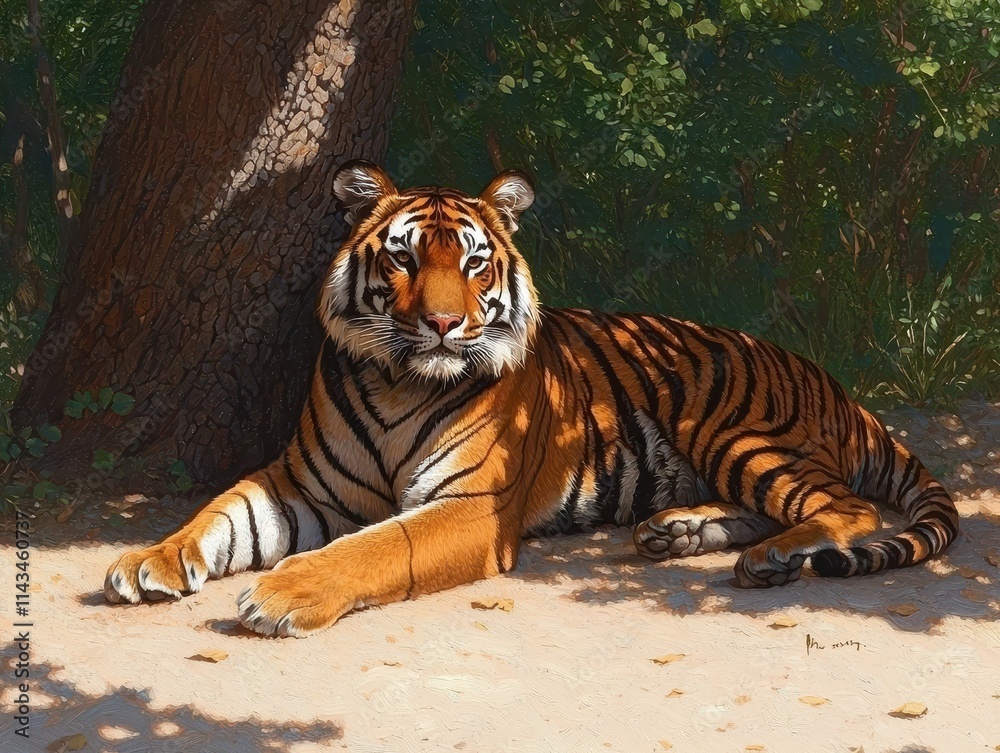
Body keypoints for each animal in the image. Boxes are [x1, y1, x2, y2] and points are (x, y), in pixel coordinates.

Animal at [104, 161, 959, 637]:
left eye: (474, 262)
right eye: (403, 258)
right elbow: (220, 512)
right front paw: (148, 558)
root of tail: (839, 387)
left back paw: (769, 557)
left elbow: (374, 547)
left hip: (733, 429)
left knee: (846, 506)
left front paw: (284, 590)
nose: (443, 323)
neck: (396, 376)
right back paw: (680, 531)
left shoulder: (470, 505)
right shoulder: (300, 483)